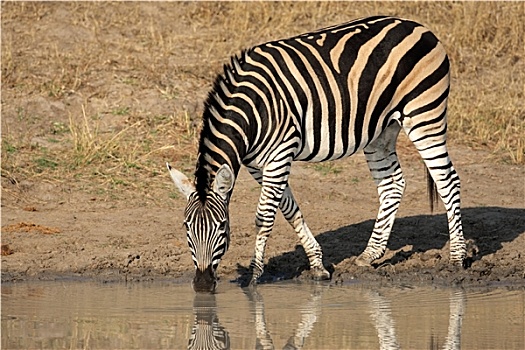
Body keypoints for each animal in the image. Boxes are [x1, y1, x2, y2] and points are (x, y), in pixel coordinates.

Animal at [166, 15, 464, 292]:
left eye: (222, 228)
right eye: (185, 228)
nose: (203, 285)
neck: (252, 112)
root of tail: (419, 27)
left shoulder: (280, 153)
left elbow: (264, 217)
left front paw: (253, 276)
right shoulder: (259, 164)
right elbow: (289, 209)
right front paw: (318, 265)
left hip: (425, 114)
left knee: (447, 181)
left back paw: (457, 259)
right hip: (381, 131)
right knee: (392, 184)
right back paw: (369, 255)